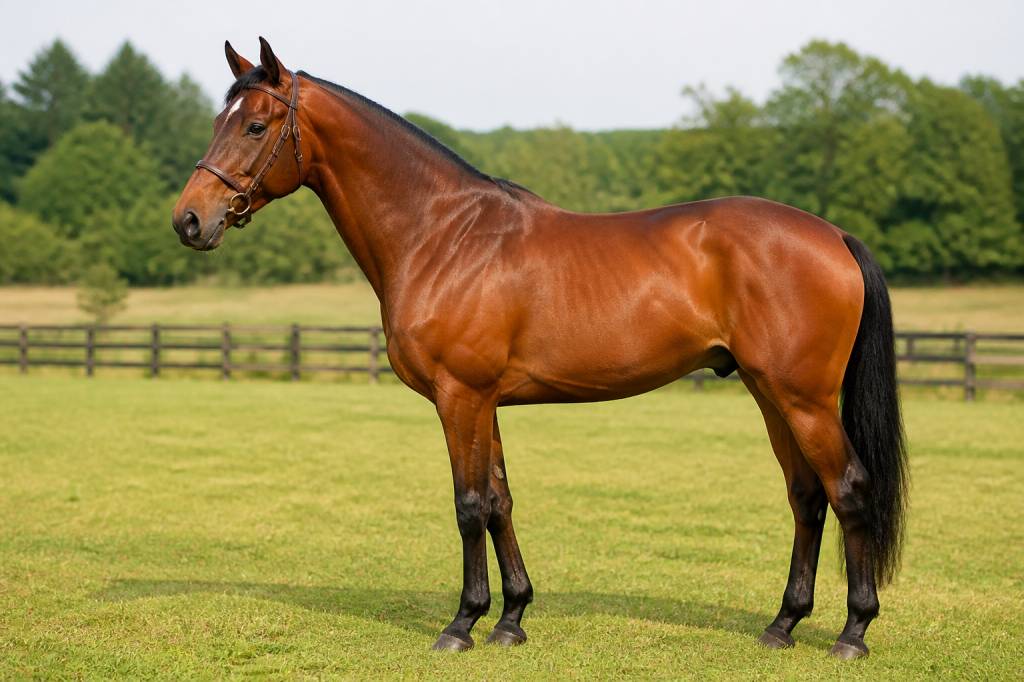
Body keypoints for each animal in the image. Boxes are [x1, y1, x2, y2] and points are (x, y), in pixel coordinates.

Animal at [172, 38, 907, 660]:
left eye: (255, 126)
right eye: (217, 120)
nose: (189, 220)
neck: (443, 235)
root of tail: (834, 235)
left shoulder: (459, 397)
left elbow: (469, 504)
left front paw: (461, 624)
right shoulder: (484, 401)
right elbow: (500, 500)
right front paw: (511, 618)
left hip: (803, 398)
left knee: (848, 489)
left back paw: (853, 633)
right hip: (768, 392)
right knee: (806, 496)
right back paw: (783, 624)